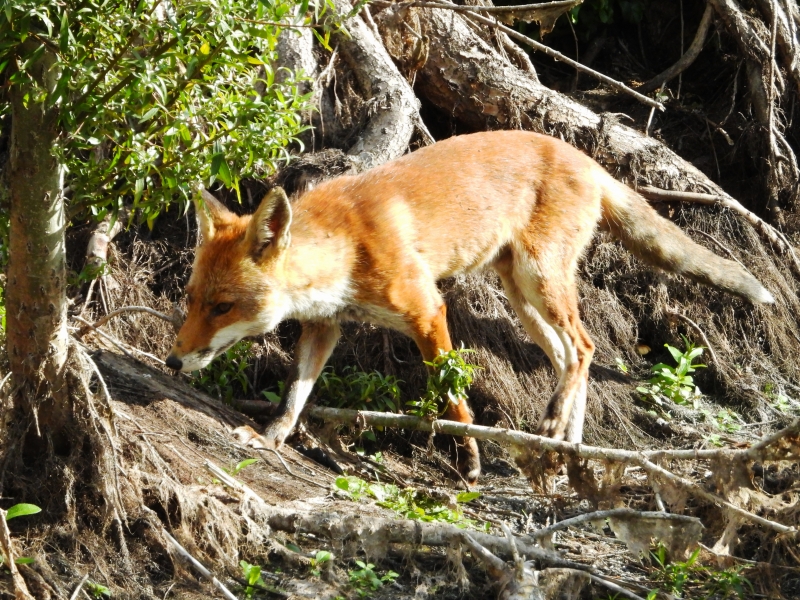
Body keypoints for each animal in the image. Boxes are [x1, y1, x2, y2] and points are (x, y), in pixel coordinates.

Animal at [167, 130, 776, 482]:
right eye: (193, 300)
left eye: (223, 307)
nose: (172, 361)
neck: (346, 249)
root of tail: (584, 157)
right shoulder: (325, 328)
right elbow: (295, 395)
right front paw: (270, 438)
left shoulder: (426, 310)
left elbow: (453, 396)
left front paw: (470, 462)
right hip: (521, 295)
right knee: (570, 358)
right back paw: (563, 451)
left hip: (539, 279)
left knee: (583, 348)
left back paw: (554, 436)